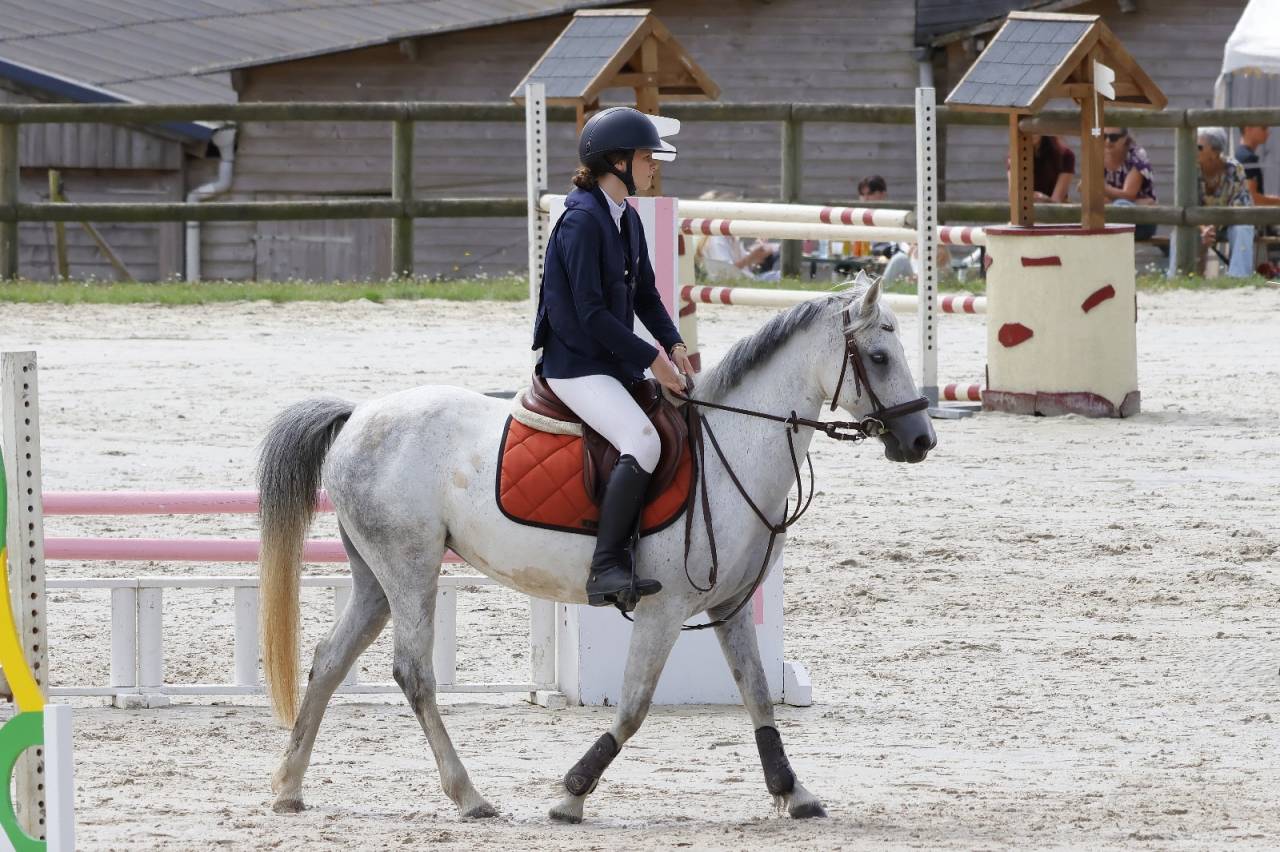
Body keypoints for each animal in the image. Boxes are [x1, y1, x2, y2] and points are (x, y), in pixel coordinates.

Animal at [257, 277, 936, 823]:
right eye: (878, 356)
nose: (921, 440)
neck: (733, 446)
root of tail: (357, 415)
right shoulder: (664, 610)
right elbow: (634, 707)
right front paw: (571, 793)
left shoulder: (730, 607)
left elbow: (758, 695)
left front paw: (793, 792)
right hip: (412, 569)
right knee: (413, 674)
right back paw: (469, 796)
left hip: (376, 578)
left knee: (329, 660)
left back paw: (289, 786)